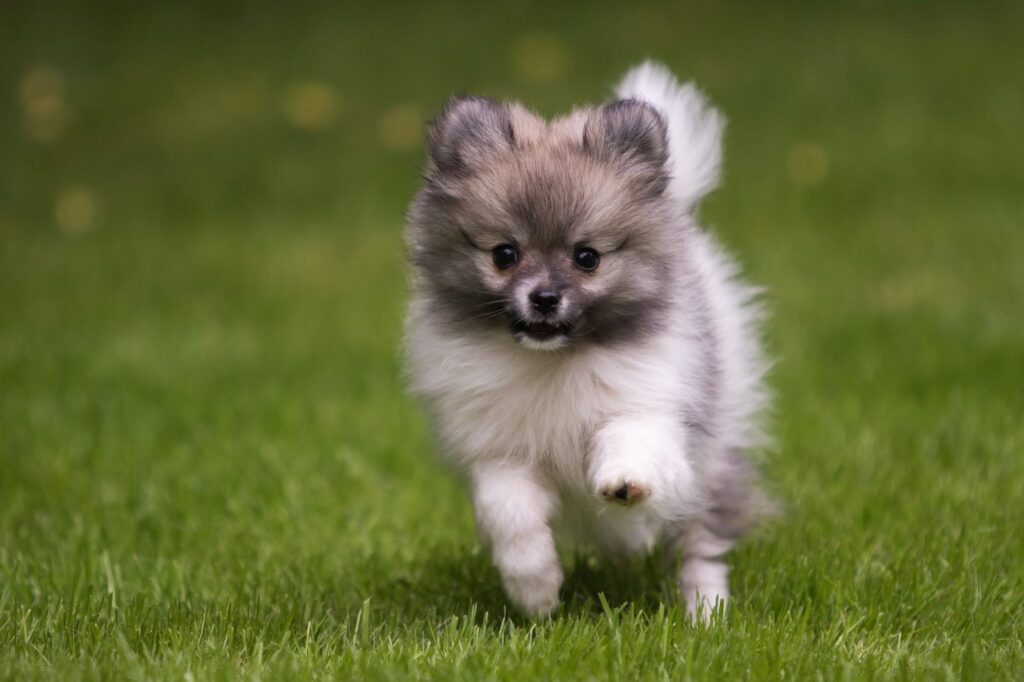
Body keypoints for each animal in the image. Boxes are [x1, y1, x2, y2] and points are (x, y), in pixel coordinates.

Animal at [403, 61, 770, 618]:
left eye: (587, 257)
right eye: (505, 254)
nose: (544, 298)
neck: (555, 359)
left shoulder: (649, 404)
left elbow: (629, 438)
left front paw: (623, 482)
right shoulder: (499, 453)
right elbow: (510, 514)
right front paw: (535, 591)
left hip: (710, 456)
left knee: (700, 541)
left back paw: (706, 611)